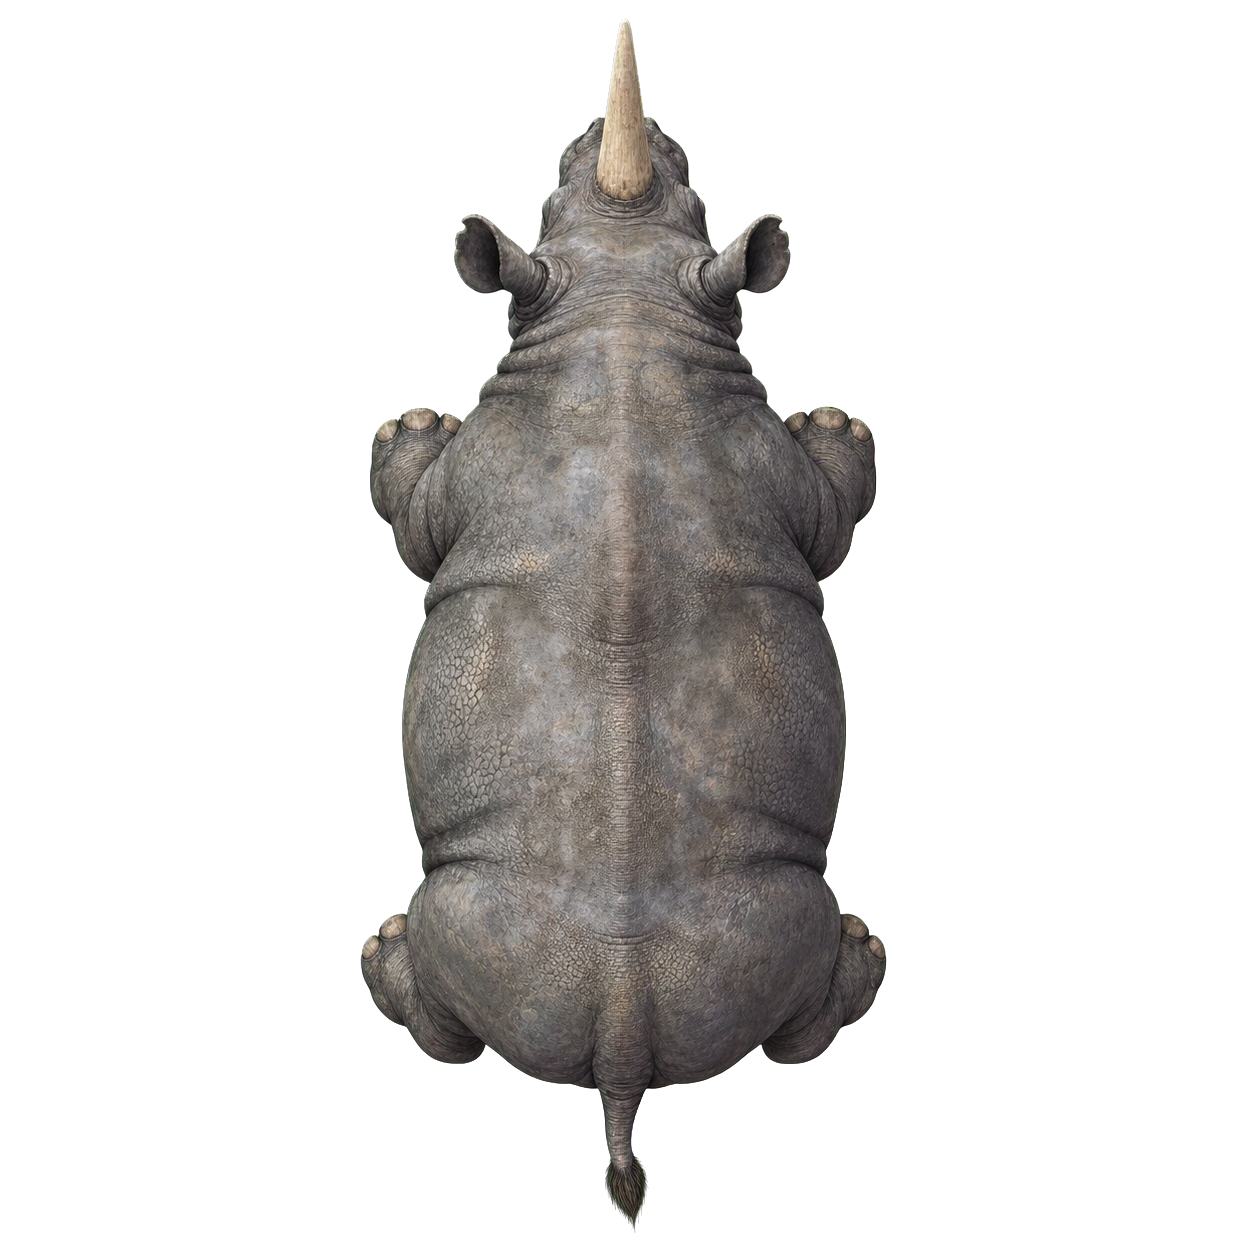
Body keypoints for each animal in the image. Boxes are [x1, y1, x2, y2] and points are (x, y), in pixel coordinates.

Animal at [360, 20, 886, 1229]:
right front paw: (403, 424)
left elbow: (836, 493)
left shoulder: (757, 460)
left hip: (725, 920)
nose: (588, 133)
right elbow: (410, 504)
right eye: (555, 195)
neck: (624, 313)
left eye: (692, 194)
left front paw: (841, 421)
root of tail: (621, 1039)